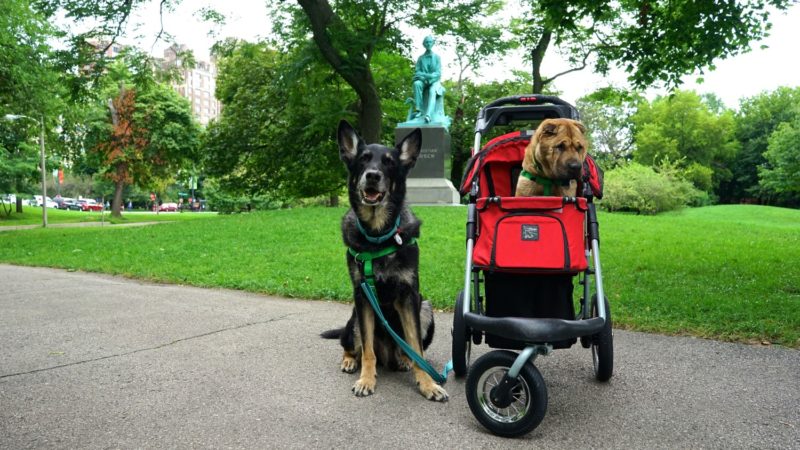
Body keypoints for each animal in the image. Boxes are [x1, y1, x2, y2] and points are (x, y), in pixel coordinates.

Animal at [324, 119, 450, 400]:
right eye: (363, 159)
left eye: (389, 162)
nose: (372, 175)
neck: (378, 237)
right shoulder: (362, 297)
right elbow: (368, 351)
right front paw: (366, 380)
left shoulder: (409, 296)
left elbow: (417, 349)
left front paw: (428, 383)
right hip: (354, 320)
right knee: (352, 346)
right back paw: (349, 361)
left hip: (425, 308)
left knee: (407, 350)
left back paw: (403, 359)